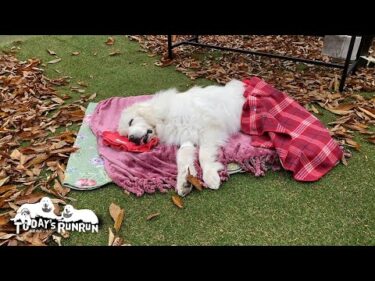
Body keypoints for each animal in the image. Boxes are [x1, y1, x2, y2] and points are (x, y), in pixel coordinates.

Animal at [117, 77, 247, 196]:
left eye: (130, 121)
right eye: (126, 136)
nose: (132, 139)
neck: (164, 118)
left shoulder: (210, 130)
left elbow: (203, 155)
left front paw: (210, 175)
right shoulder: (186, 137)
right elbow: (183, 157)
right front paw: (184, 181)